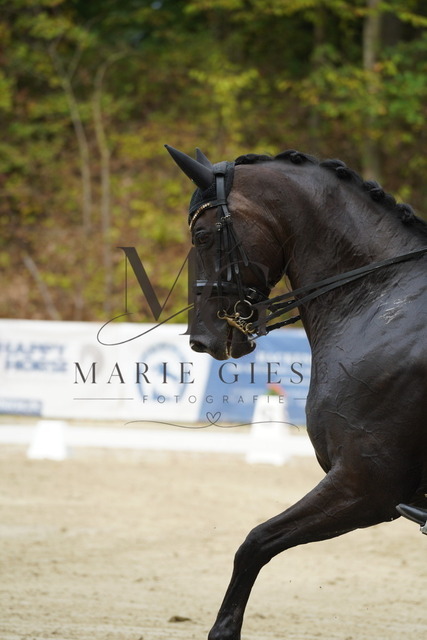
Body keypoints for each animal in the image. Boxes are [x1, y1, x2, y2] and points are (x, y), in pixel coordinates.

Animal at [165, 144, 427, 640]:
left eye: (204, 236)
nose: (201, 339)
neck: (380, 299)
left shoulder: (365, 485)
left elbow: (254, 543)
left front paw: (223, 631)